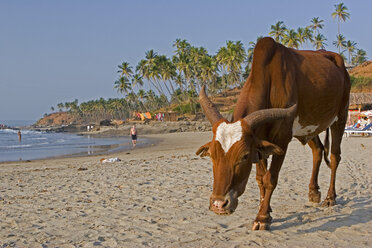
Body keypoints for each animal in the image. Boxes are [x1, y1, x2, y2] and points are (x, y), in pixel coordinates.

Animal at [196, 36, 350, 231]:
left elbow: (271, 178)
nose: (218, 204)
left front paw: (262, 217)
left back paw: (330, 198)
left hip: (341, 116)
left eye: (244, 156)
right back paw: (314, 192)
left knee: (335, 156)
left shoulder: (282, 140)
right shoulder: (259, 142)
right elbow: (261, 179)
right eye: (212, 155)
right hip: (308, 126)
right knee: (318, 150)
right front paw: (266, 210)